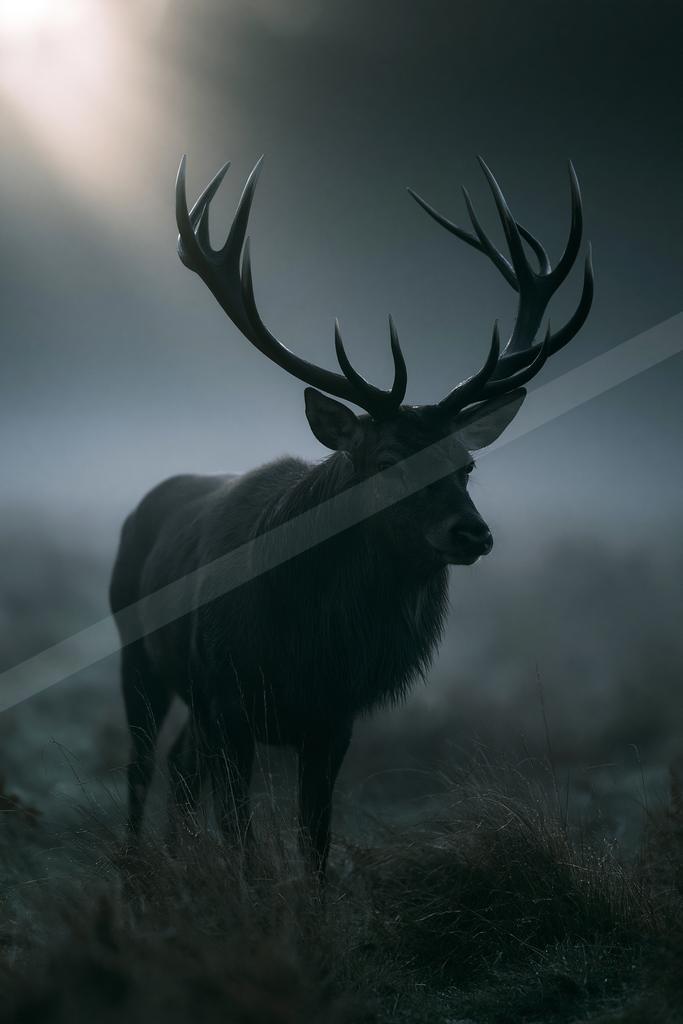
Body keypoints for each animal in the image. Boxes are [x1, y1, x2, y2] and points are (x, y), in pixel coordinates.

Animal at [109, 156, 593, 875]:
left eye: (466, 465)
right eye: (387, 459)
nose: (472, 532)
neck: (310, 649)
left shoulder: (334, 719)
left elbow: (315, 842)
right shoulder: (231, 702)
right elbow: (245, 839)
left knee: (179, 764)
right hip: (135, 649)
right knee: (142, 765)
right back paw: (136, 869)